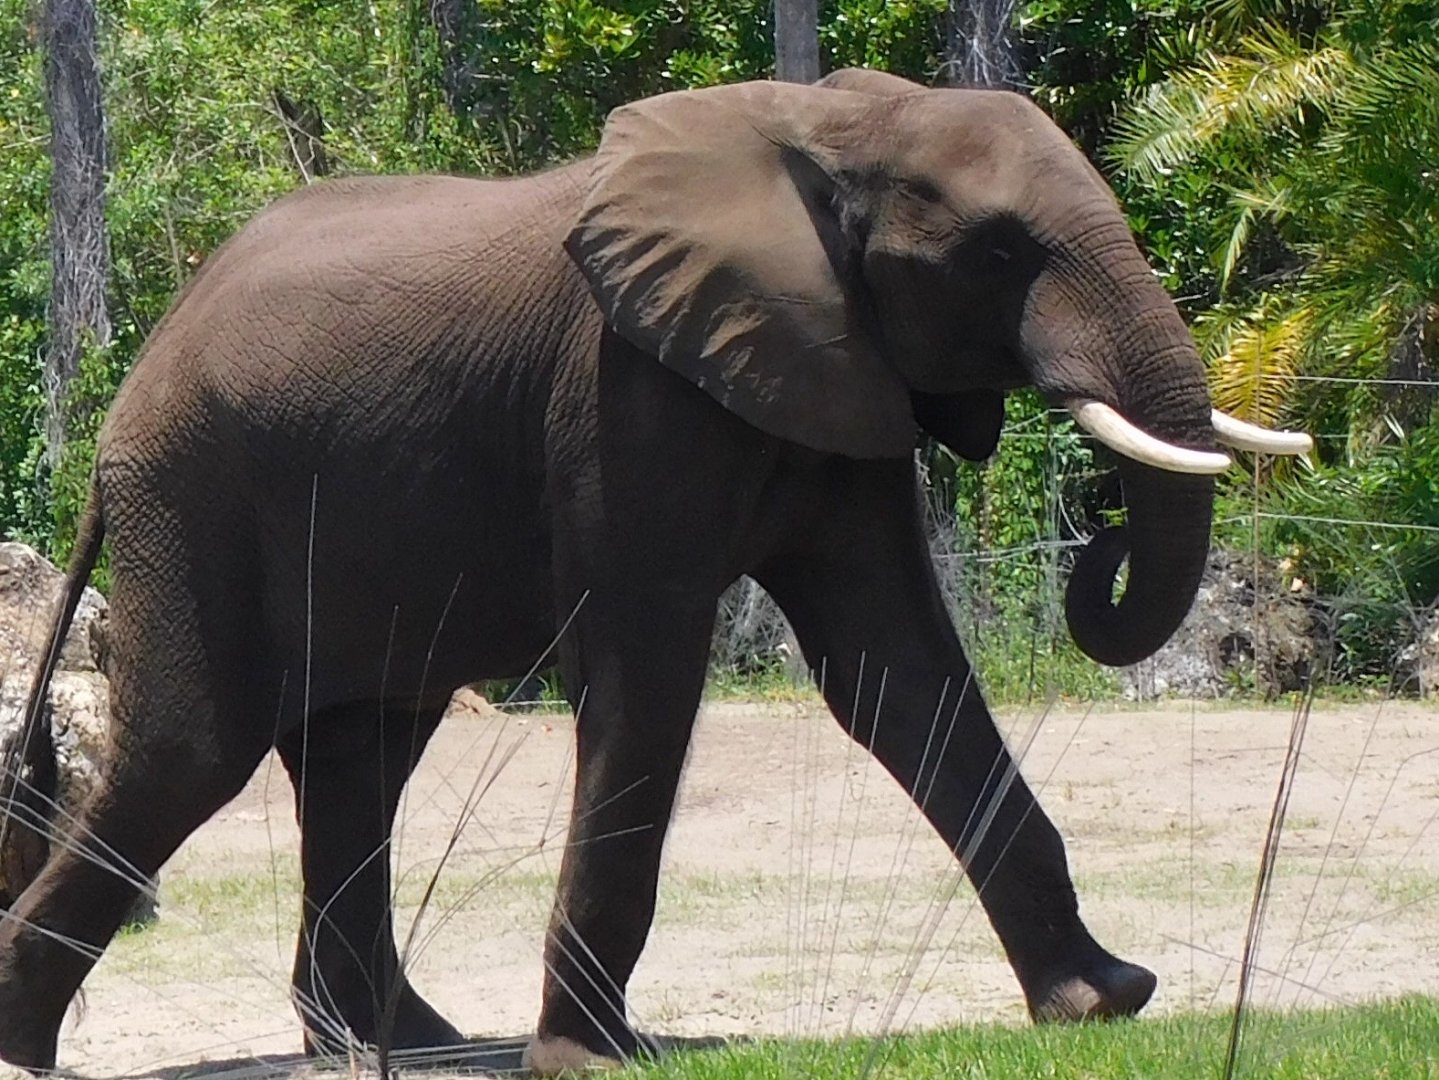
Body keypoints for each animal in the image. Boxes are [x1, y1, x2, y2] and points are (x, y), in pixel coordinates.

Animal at [0, 69, 1310, 1074]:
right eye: (998, 250)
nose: (1102, 541)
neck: (835, 127)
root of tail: (137, 378)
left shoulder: (827, 370)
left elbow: (894, 669)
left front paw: (1104, 1001)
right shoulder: (626, 392)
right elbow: (650, 671)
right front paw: (591, 1060)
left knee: (361, 754)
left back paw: (411, 1043)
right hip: (195, 501)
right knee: (193, 751)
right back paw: (35, 1045)